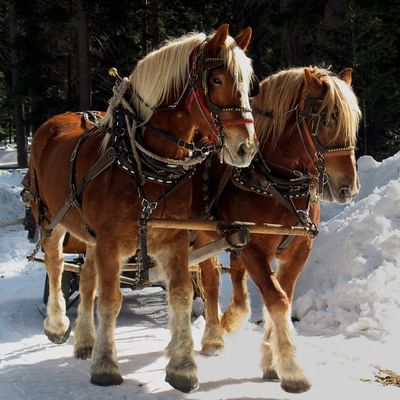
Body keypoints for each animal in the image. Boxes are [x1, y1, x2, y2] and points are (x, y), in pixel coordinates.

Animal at [25, 23, 258, 392]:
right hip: (50, 216)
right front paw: (106, 366)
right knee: (56, 263)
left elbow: (180, 294)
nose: (246, 147)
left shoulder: (173, 239)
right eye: (218, 79)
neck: (145, 164)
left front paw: (182, 368)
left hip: (88, 233)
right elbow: (110, 300)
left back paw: (85, 341)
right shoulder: (110, 242)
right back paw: (59, 324)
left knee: (86, 277)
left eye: (249, 84)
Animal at [195, 65, 362, 394]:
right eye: (327, 119)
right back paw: (213, 337)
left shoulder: (297, 250)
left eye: (355, 121)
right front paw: (292, 369)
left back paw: (231, 319)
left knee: (234, 279)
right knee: (210, 281)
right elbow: (277, 299)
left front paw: (270, 361)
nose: (348, 188)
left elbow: (282, 295)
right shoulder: (253, 247)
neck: (274, 182)